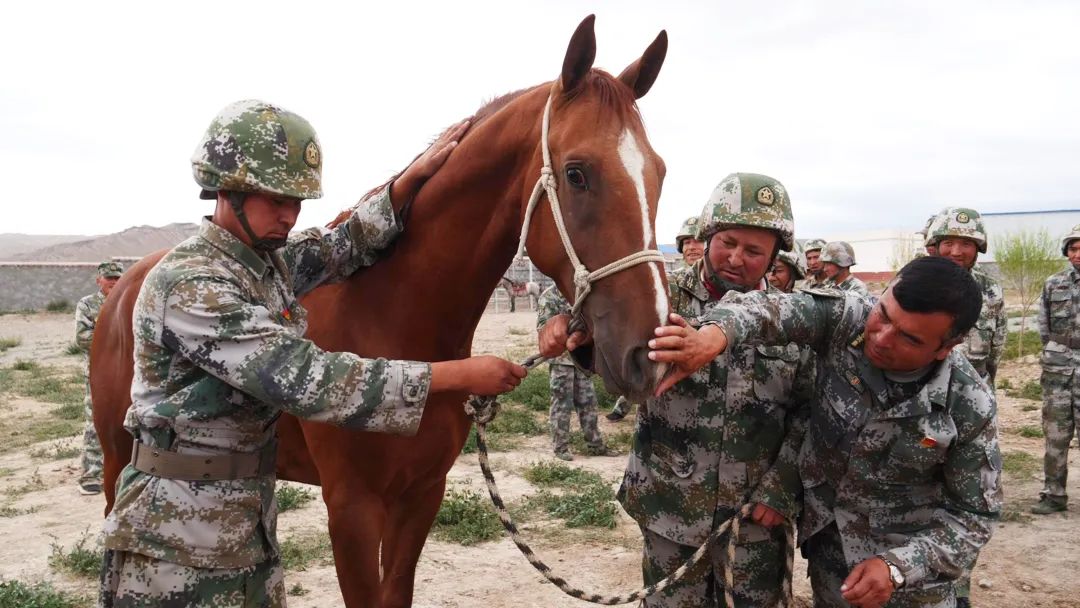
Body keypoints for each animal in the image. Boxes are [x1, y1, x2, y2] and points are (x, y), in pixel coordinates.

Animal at [92, 15, 665, 608]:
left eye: (660, 173)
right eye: (577, 173)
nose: (647, 352)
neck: (394, 316)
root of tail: (129, 282)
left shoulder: (421, 494)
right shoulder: (352, 508)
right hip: (117, 458)